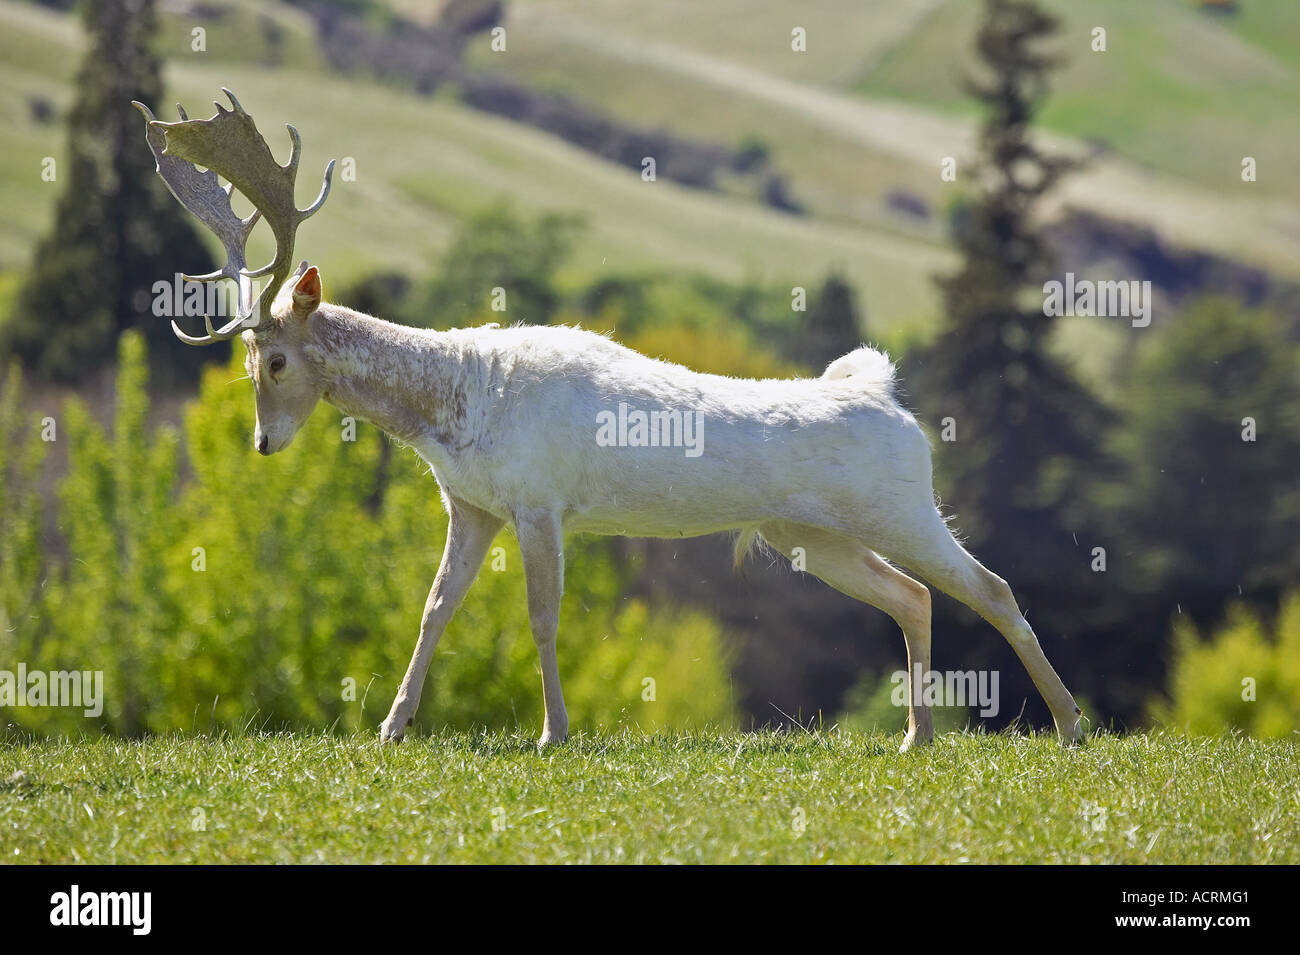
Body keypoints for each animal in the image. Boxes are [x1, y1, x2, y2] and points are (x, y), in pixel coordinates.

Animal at [134, 91, 1086, 753]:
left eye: (276, 362)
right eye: (246, 365)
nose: (263, 443)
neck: (456, 406)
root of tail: (887, 394)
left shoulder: (540, 499)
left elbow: (543, 614)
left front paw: (553, 730)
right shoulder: (470, 505)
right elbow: (434, 607)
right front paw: (390, 726)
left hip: (900, 503)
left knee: (991, 586)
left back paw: (1073, 725)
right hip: (813, 534)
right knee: (913, 594)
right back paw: (916, 735)